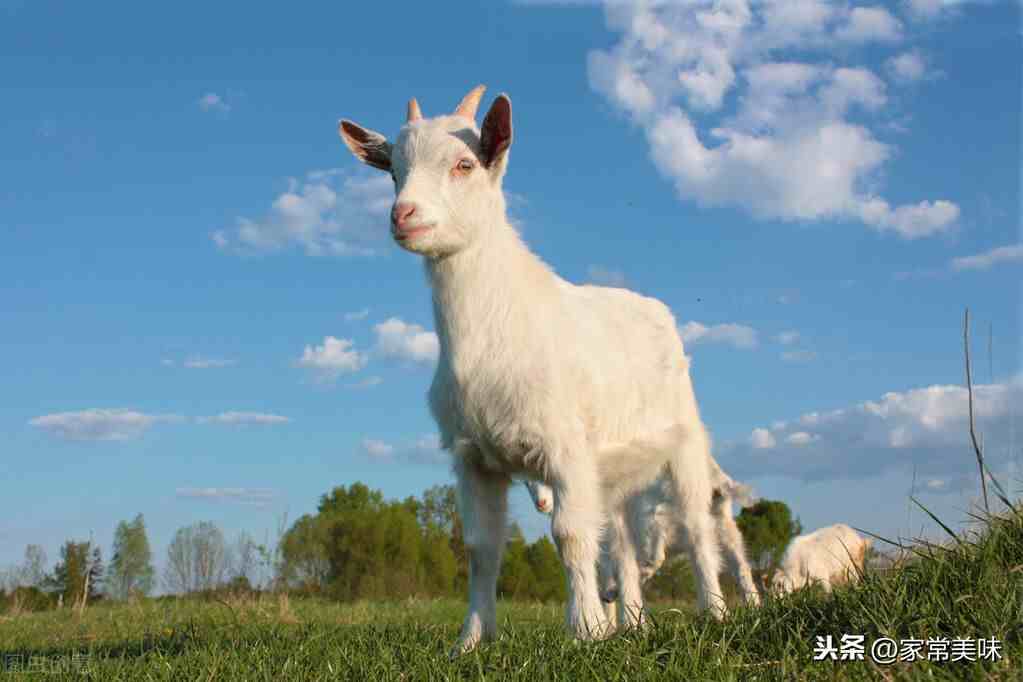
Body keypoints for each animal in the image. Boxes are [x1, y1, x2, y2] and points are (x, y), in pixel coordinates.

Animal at [339, 85, 724, 654]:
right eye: (392, 171)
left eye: (465, 163)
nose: (403, 215)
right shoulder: (472, 458)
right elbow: (480, 547)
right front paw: (471, 640)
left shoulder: (565, 448)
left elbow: (570, 535)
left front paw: (585, 630)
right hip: (612, 468)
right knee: (622, 538)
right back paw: (633, 623)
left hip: (685, 440)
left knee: (697, 527)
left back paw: (714, 612)